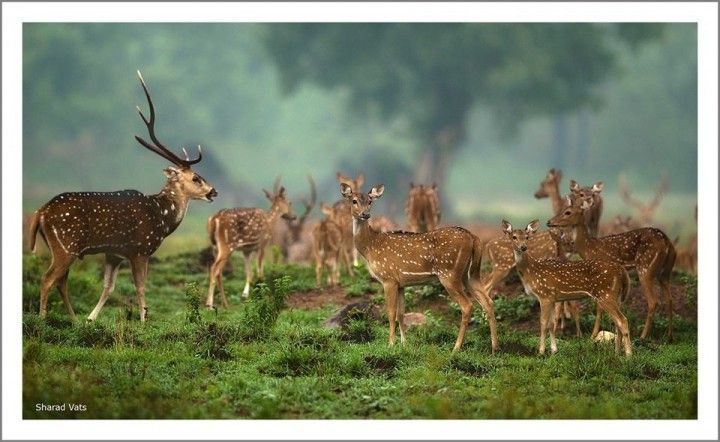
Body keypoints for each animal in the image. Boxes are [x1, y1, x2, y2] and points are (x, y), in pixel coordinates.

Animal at [27, 71, 217, 322]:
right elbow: (141, 286)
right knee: (47, 279)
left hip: (58, 247)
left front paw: (91, 319)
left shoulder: (113, 253)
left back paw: (75, 320)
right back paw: (42, 319)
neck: (162, 218)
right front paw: (144, 321)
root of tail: (40, 212)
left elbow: (108, 287)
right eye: (196, 178)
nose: (213, 191)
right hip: (66, 245)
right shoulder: (140, 249)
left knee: (61, 281)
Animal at [336, 183, 496, 352]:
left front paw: (391, 344)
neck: (370, 247)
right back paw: (494, 347)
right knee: (488, 301)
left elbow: (390, 313)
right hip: (471, 274)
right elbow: (401, 313)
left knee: (467, 305)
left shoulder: (388, 278)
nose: (365, 214)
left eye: (370, 201)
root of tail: (474, 238)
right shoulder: (400, 283)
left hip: (449, 273)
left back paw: (456, 348)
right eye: (354, 201)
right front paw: (404, 343)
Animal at [500, 219, 632, 358]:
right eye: (514, 237)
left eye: (527, 237)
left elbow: (543, 323)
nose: (523, 247)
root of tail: (622, 270)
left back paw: (628, 355)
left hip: (605, 294)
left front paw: (541, 351)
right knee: (617, 322)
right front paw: (554, 350)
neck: (530, 272)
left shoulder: (545, 295)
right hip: (616, 295)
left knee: (622, 320)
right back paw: (617, 353)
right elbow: (552, 324)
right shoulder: (552, 298)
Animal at [548, 199, 676, 340]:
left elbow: (599, 307)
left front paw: (593, 335)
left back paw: (643, 336)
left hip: (645, 268)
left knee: (653, 301)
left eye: (568, 212)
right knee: (669, 299)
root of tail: (667, 243)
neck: (588, 248)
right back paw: (669, 336)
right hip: (665, 272)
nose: (549, 222)